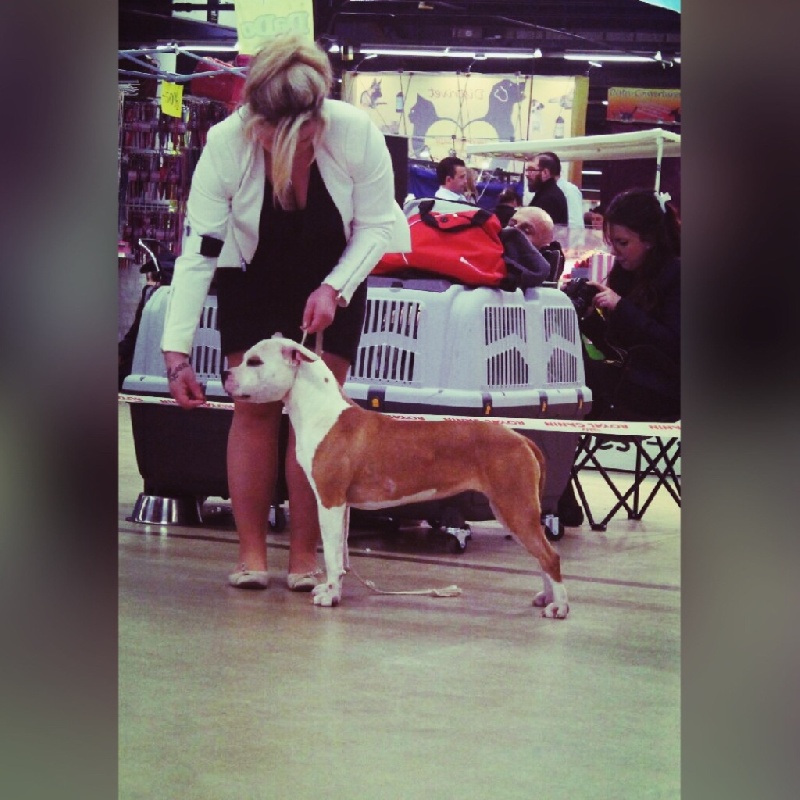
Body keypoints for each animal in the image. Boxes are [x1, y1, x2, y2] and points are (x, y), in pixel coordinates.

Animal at [222, 336, 569, 619]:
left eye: (255, 362)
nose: (226, 374)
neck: (321, 412)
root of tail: (521, 438)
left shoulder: (330, 501)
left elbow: (332, 555)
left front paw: (330, 597)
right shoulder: (343, 506)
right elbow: (342, 555)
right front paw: (334, 589)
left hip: (515, 507)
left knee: (550, 556)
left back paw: (559, 607)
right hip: (511, 508)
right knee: (541, 556)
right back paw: (546, 598)